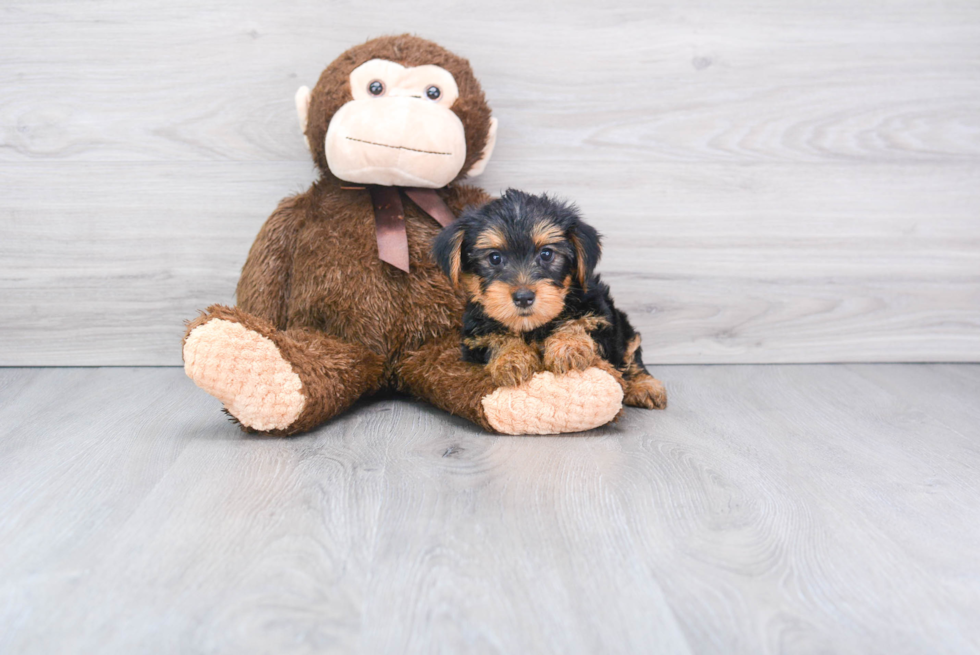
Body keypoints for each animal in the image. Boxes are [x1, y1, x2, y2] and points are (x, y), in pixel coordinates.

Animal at [430, 187, 668, 410]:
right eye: (494, 258)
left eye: (546, 254)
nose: (523, 297)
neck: (532, 327)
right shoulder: (474, 336)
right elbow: (494, 336)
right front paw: (512, 359)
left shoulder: (600, 314)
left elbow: (581, 321)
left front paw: (568, 346)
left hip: (623, 327)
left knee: (631, 352)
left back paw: (645, 386)